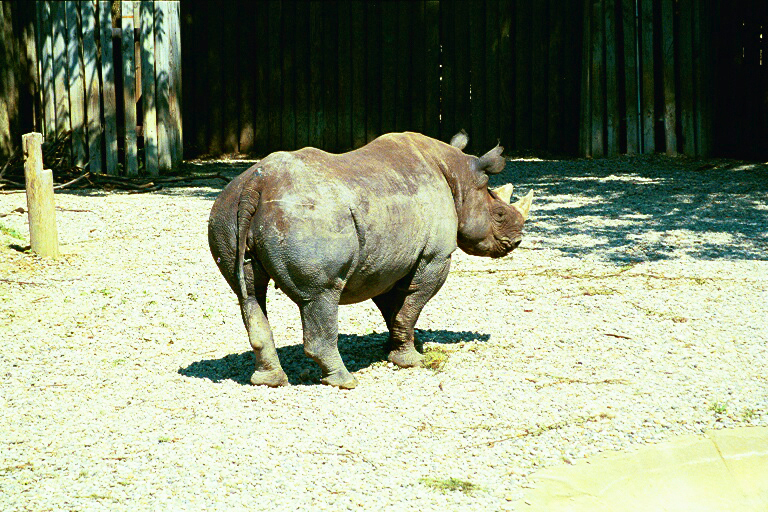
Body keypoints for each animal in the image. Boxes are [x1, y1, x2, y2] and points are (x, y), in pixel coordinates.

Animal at [208, 131, 533, 389]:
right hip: (305, 216)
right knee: (320, 294)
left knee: (249, 293)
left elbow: (397, 310)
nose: (517, 240)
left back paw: (269, 381)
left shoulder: (385, 262)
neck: (457, 175)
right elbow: (411, 305)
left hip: (226, 210)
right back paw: (345, 381)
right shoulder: (435, 256)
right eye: (499, 215)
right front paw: (411, 360)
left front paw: (398, 348)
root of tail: (256, 185)